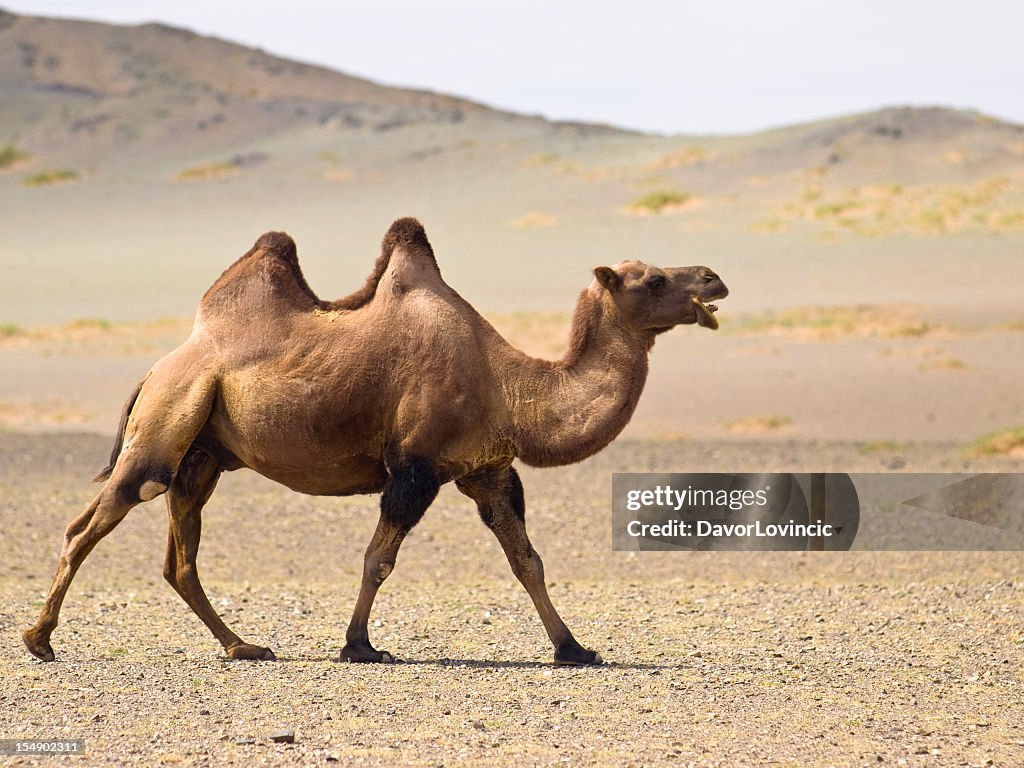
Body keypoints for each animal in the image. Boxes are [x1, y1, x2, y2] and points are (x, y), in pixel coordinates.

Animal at [24, 218, 729, 667]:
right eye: (653, 280)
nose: (713, 278)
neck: (508, 383)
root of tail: (158, 365)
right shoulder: (415, 467)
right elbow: (378, 559)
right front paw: (359, 645)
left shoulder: (486, 471)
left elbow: (526, 559)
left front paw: (574, 649)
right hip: (167, 421)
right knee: (96, 520)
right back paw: (40, 639)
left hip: (204, 453)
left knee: (178, 554)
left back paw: (243, 646)